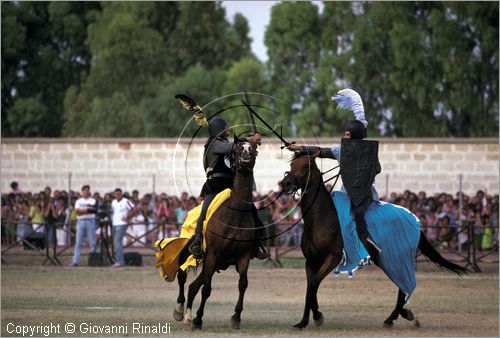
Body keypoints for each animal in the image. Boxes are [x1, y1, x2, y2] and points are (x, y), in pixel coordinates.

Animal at [174, 139, 260, 330]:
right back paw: (180, 311)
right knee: (182, 276)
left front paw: (236, 317)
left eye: (253, 149)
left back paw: (188, 317)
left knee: (193, 286)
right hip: (194, 255)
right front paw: (199, 319)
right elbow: (207, 289)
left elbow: (243, 284)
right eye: (238, 148)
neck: (236, 214)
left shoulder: (243, 257)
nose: (246, 154)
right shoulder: (213, 255)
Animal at [280, 152, 466, 328]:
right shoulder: (311, 261)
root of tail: (414, 219)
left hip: (397, 259)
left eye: (306, 166)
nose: (286, 183)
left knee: (404, 286)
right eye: (292, 165)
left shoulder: (333, 258)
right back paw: (397, 315)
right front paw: (304, 321)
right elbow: (310, 287)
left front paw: (317, 317)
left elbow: (313, 284)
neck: (321, 218)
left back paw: (395, 316)